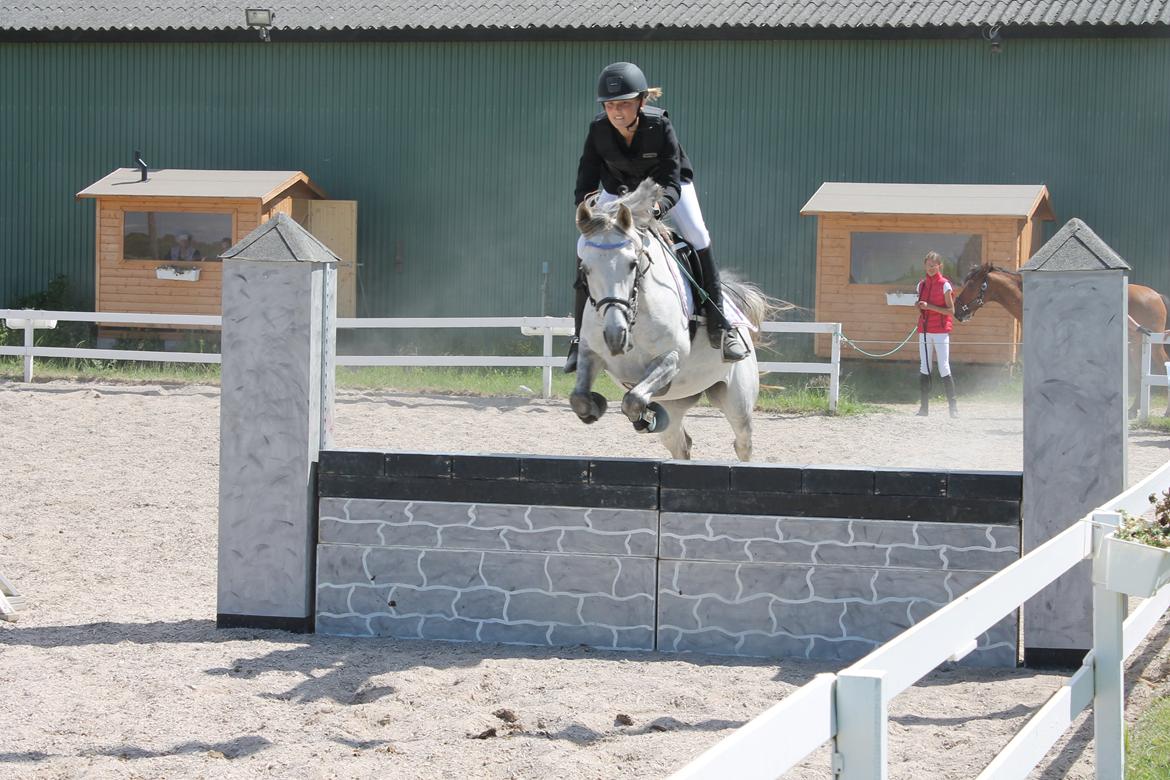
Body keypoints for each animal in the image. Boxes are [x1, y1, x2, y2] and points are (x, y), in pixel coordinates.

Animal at [570, 180, 781, 460]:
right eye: (584, 269)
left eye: (632, 264)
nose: (615, 336)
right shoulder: (590, 353)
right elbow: (580, 399)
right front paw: (597, 406)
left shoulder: (671, 357)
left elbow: (633, 400)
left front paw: (642, 418)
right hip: (675, 403)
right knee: (681, 443)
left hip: (736, 400)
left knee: (742, 442)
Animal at [954, 264, 1165, 413]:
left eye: (971, 284)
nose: (957, 309)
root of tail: (1156, 295)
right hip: (1136, 346)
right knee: (1139, 373)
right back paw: (1133, 409)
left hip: (1152, 346)